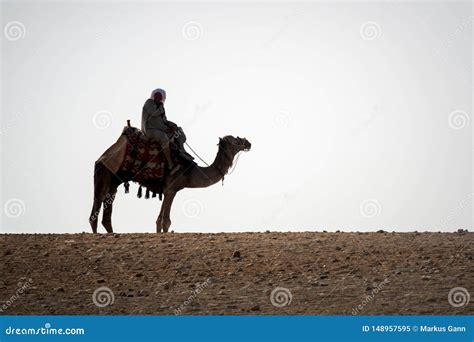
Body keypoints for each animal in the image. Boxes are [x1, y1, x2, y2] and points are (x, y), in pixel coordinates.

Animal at [89, 132, 252, 234]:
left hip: (114, 182)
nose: (248, 142)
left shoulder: (167, 190)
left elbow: (158, 221)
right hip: (105, 173)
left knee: (106, 213)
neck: (191, 172)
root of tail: (101, 157)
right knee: (96, 209)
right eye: (235, 140)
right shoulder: (172, 189)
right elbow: (166, 221)